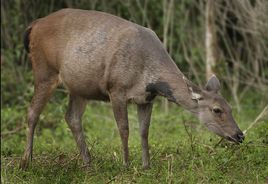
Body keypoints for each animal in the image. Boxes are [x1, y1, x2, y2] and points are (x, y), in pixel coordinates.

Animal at [19, 8, 244, 170]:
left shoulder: (147, 98)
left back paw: (88, 163)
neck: (148, 76)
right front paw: (126, 164)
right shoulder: (116, 88)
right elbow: (124, 128)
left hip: (79, 86)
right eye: (217, 110)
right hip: (45, 70)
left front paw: (146, 166)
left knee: (72, 117)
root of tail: (33, 25)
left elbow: (144, 131)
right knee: (32, 112)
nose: (240, 135)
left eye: (231, 108)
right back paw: (26, 162)